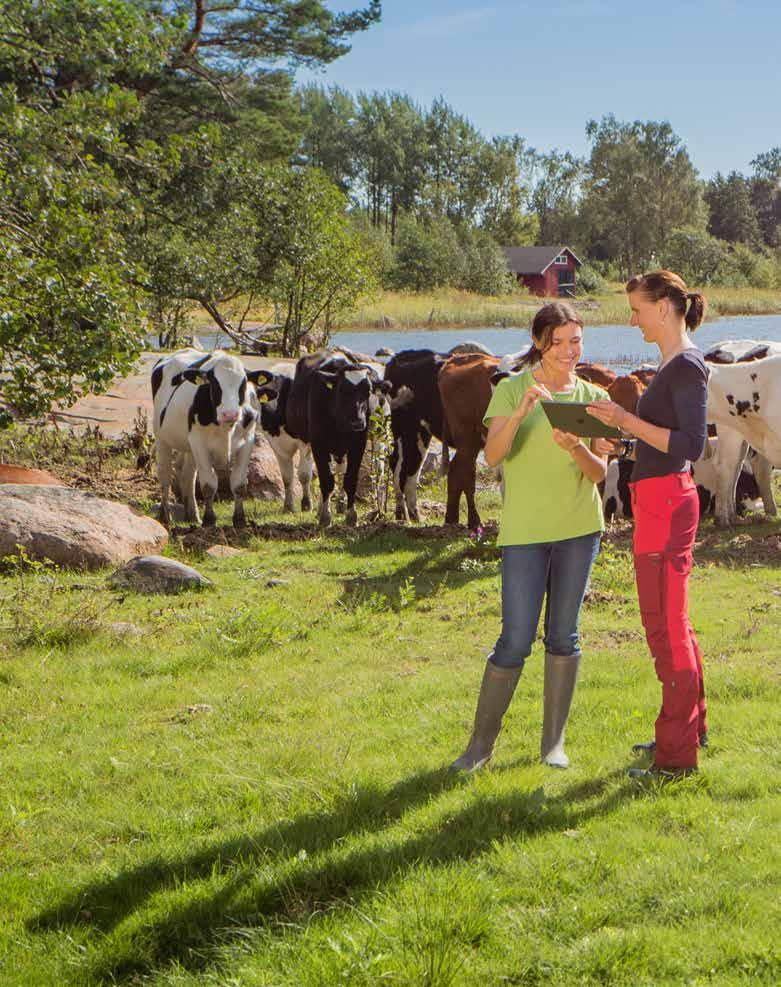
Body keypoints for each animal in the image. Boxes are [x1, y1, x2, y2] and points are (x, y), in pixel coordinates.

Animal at [152, 352, 274, 528]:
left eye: (243, 385)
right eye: (215, 384)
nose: (230, 414)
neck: (226, 428)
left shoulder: (247, 441)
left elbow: (239, 484)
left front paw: (240, 520)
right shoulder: (199, 442)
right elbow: (209, 484)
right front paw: (209, 520)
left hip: (189, 446)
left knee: (187, 475)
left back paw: (193, 515)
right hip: (162, 438)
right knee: (165, 476)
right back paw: (165, 517)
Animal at [284, 354, 390, 524]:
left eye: (368, 391)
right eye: (342, 389)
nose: (358, 422)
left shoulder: (357, 444)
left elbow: (350, 479)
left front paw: (351, 515)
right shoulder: (318, 444)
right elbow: (326, 480)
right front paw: (325, 516)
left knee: (340, 470)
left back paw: (340, 505)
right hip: (306, 441)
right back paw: (320, 509)